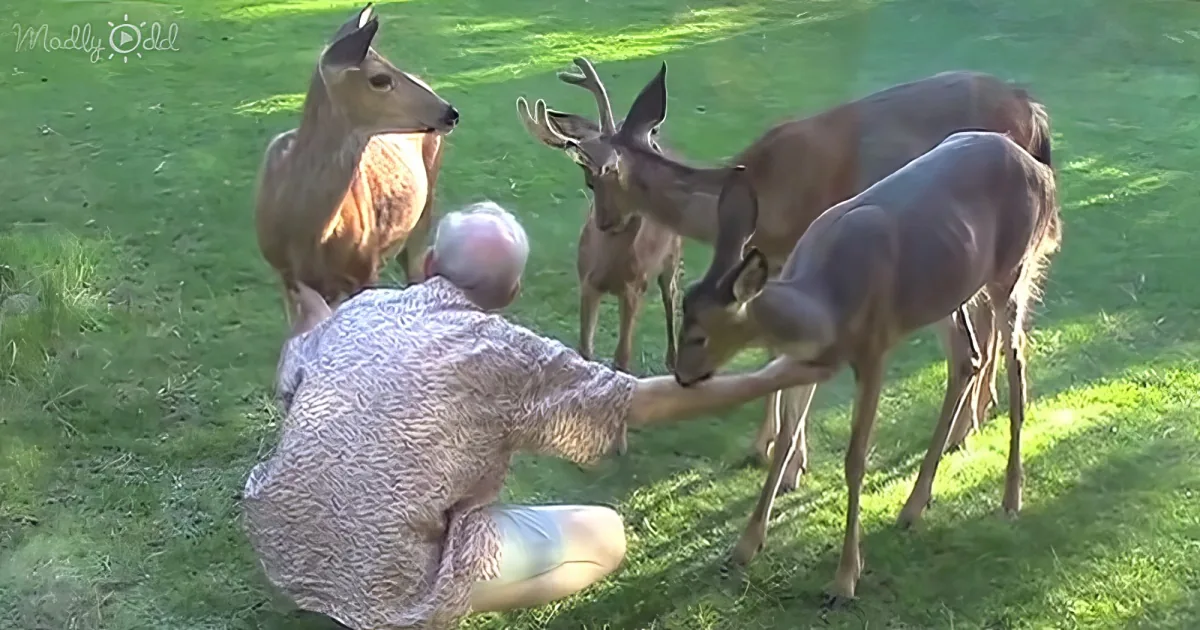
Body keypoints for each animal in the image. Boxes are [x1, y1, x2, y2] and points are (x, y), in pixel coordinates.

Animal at [254, 3, 460, 323]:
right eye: (379, 79)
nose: (450, 112)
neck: (308, 236)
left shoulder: (364, 268)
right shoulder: (285, 275)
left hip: (425, 208)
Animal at [515, 64, 683, 374]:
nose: (595, 167)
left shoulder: (634, 288)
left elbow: (622, 358)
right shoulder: (587, 281)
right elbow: (584, 349)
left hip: (673, 253)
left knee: (671, 296)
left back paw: (673, 360)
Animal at [674, 131, 1061, 603]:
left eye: (699, 336)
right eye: (682, 312)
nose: (680, 375)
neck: (826, 304)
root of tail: (1042, 173)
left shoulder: (875, 349)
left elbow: (855, 460)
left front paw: (845, 578)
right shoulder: (807, 361)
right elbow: (785, 440)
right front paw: (746, 546)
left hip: (1011, 271)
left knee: (1016, 364)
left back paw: (1010, 498)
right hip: (944, 291)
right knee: (966, 358)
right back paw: (914, 505)